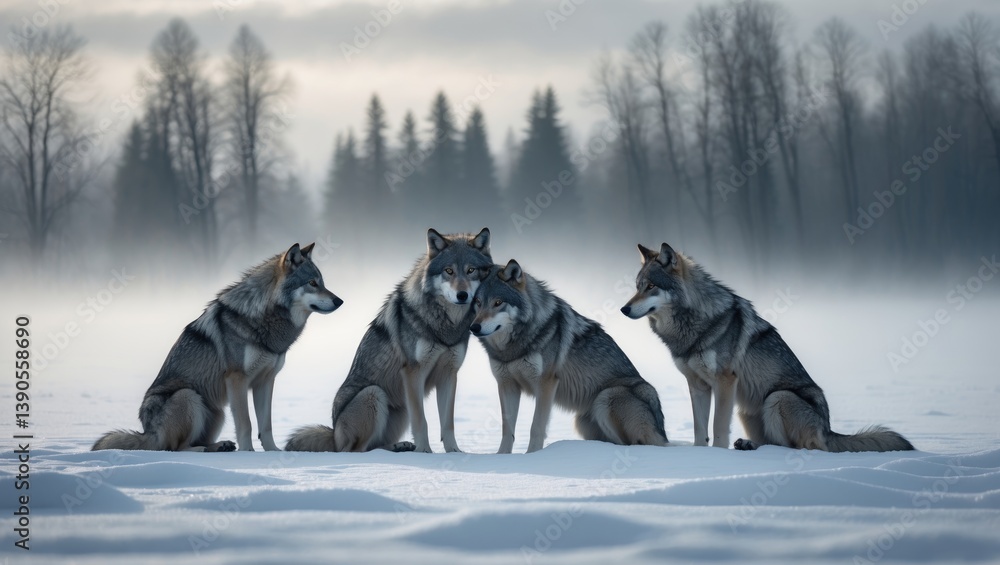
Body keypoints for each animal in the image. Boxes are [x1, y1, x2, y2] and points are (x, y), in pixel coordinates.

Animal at [93, 243, 342, 452]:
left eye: (323, 282)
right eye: (312, 283)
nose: (339, 301)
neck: (264, 318)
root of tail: (147, 434)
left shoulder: (265, 381)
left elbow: (266, 425)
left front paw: (273, 453)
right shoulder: (237, 380)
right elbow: (246, 423)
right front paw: (248, 454)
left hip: (217, 413)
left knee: (196, 441)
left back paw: (221, 446)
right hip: (189, 396)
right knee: (177, 448)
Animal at [285, 228, 492, 453]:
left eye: (471, 270)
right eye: (449, 271)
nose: (462, 295)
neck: (446, 324)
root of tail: (334, 436)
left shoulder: (449, 374)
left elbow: (448, 423)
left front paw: (454, 452)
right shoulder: (413, 373)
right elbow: (422, 421)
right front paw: (424, 452)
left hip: (401, 409)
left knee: (376, 445)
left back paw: (400, 446)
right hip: (374, 394)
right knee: (359, 450)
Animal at [472, 259, 669, 453]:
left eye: (498, 302)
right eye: (479, 302)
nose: (474, 327)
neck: (512, 347)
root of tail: (662, 433)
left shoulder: (546, 384)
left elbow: (536, 427)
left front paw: (532, 456)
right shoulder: (507, 385)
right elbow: (507, 429)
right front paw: (502, 457)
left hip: (605, 397)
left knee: (634, 445)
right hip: (582, 422)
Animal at [621, 243, 914, 452]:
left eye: (651, 286)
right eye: (637, 287)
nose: (623, 309)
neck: (692, 323)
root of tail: (829, 429)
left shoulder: (725, 382)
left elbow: (717, 428)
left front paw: (717, 456)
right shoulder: (698, 386)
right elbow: (699, 429)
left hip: (777, 398)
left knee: (799, 447)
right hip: (747, 409)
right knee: (774, 443)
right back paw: (748, 444)